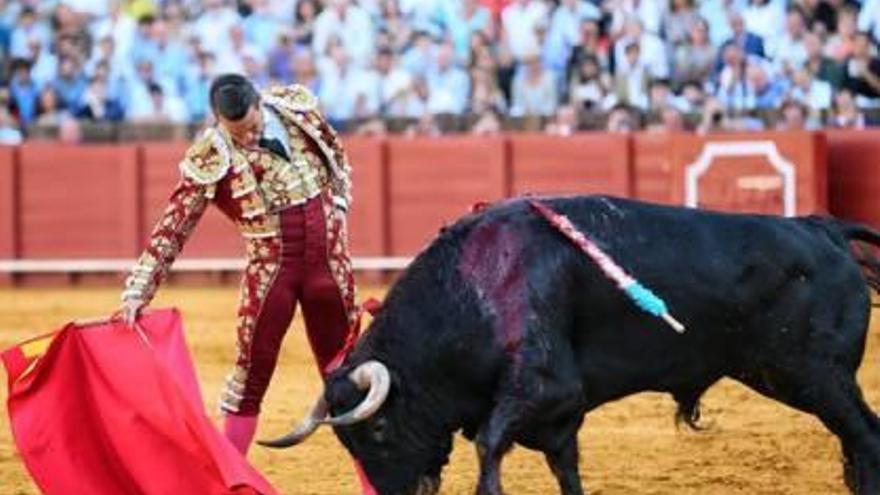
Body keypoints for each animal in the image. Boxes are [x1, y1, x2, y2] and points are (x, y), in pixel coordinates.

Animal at [262, 197, 880, 495]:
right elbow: (566, 470)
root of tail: (822, 228)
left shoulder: (543, 387)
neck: (473, 286)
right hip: (782, 374)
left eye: (380, 430)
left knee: (865, 436)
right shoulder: (559, 418)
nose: (398, 492)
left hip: (818, 376)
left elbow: (488, 445)